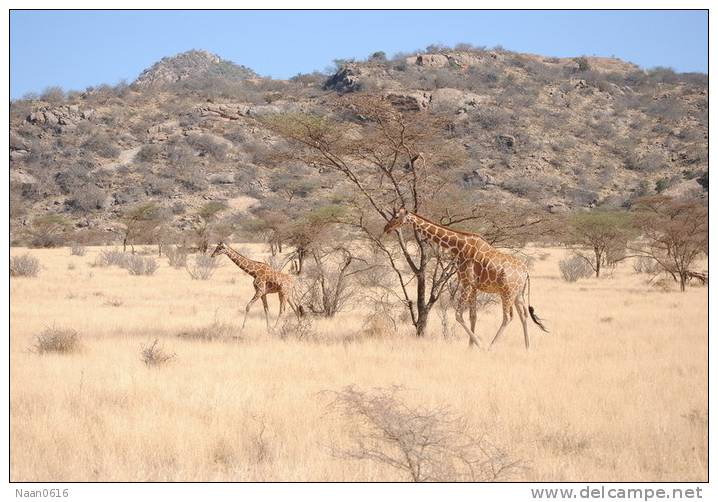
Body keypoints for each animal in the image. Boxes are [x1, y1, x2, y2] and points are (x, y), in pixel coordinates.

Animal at [386, 208, 548, 350]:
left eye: (396, 216)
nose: (386, 228)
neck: (459, 246)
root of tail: (526, 271)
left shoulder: (467, 283)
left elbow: (458, 315)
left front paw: (479, 345)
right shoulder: (474, 286)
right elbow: (473, 316)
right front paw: (470, 347)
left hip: (506, 292)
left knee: (508, 317)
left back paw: (490, 347)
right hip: (518, 293)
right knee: (524, 315)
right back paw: (527, 348)